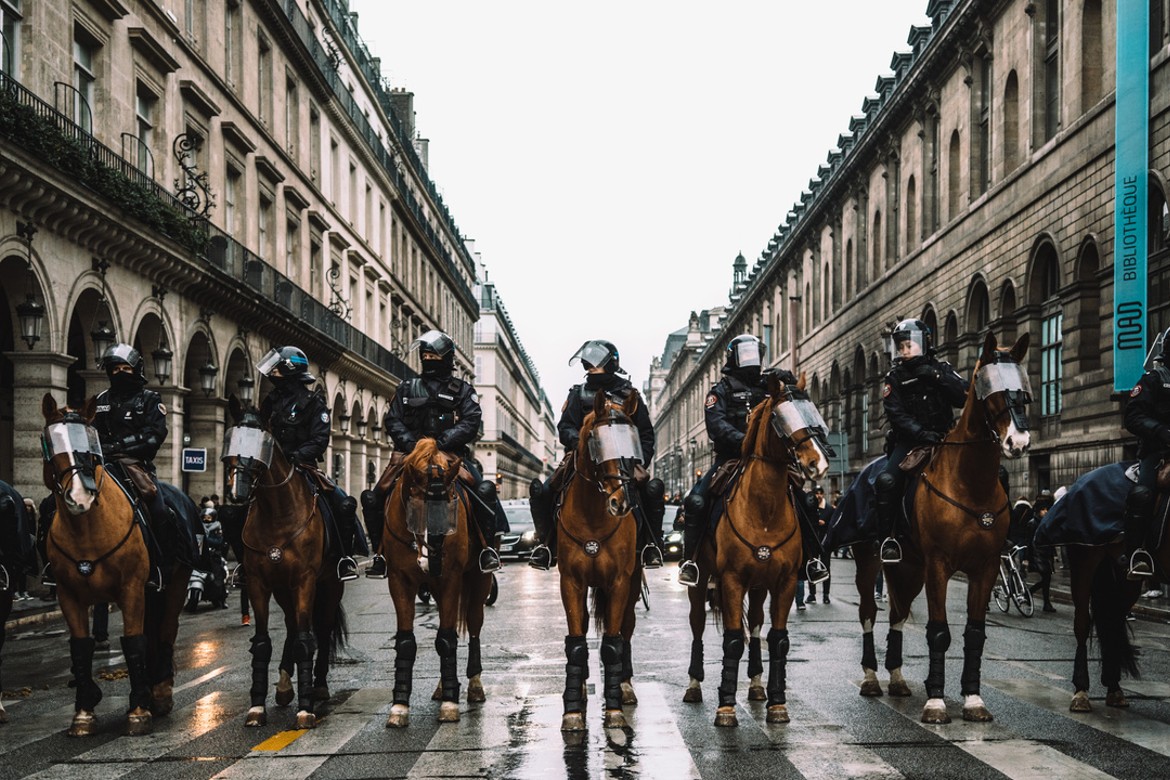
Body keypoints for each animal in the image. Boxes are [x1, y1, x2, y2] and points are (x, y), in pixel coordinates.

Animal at [221, 397, 343, 734]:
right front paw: (256, 707)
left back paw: (319, 685)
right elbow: (263, 643)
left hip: (330, 585)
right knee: (290, 626)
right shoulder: (259, 584)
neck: (277, 513)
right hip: (284, 590)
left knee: (321, 630)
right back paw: (286, 685)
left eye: (260, 444)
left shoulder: (305, 580)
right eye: (231, 440)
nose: (237, 493)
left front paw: (306, 710)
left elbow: (305, 641)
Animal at [383, 439, 493, 725]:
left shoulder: (450, 578)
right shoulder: (399, 580)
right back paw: (442, 687)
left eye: (451, 504)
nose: (431, 560)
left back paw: (474, 685)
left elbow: (446, 639)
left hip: (478, 580)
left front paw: (450, 704)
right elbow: (406, 642)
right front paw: (399, 706)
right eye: (414, 507)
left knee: (473, 625)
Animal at [556, 390, 650, 734]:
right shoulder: (570, 582)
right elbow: (577, 641)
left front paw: (614, 709)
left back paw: (624, 686)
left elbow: (612, 643)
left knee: (626, 629)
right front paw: (572, 710)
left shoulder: (619, 582)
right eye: (596, 442)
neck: (593, 516)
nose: (620, 503)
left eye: (632, 442)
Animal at [851, 329, 1034, 725]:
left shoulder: (984, 568)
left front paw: (973, 699)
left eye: (1024, 391)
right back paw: (872, 677)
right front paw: (936, 702)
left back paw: (898, 678)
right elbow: (938, 633)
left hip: (908, 568)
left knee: (898, 614)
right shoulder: (938, 565)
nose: (1018, 442)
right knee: (869, 614)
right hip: (871, 562)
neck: (969, 483)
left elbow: (975, 633)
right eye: (991, 391)